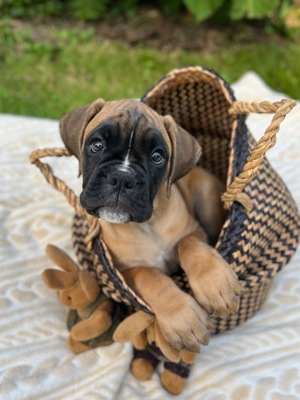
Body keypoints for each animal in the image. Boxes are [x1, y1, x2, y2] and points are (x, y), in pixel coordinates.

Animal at [59, 99, 240, 354]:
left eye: (157, 156)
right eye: (97, 144)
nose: (122, 178)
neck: (147, 226)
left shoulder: (195, 231)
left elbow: (188, 244)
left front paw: (214, 283)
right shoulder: (124, 271)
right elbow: (150, 276)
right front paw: (182, 317)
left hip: (205, 197)